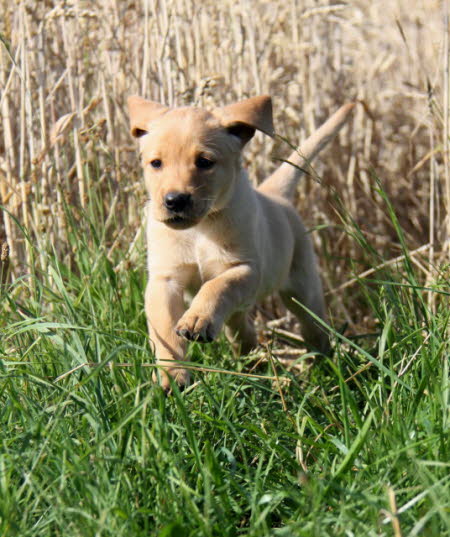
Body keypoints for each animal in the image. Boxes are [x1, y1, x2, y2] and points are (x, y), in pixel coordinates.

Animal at [128, 95, 354, 390]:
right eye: (156, 163)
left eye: (204, 162)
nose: (174, 200)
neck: (199, 230)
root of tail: (274, 195)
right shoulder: (165, 279)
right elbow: (165, 329)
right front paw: (171, 374)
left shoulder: (246, 269)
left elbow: (217, 285)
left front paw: (197, 318)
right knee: (242, 329)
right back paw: (250, 361)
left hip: (303, 290)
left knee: (313, 329)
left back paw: (325, 367)